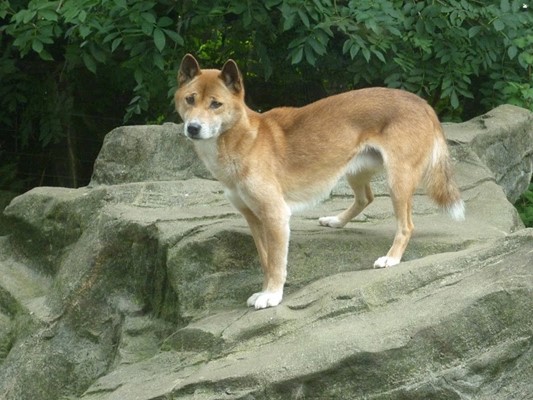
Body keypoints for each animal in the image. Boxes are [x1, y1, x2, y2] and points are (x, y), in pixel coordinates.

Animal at [174, 54, 465, 309]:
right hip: (353, 169)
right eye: (190, 99)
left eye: (216, 104)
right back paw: (336, 221)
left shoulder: (275, 215)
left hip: (397, 180)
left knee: (406, 226)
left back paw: (391, 259)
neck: (242, 141)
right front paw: (265, 290)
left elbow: (277, 263)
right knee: (366, 198)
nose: (193, 128)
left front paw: (272, 296)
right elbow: (266, 261)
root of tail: (422, 102)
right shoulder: (253, 218)